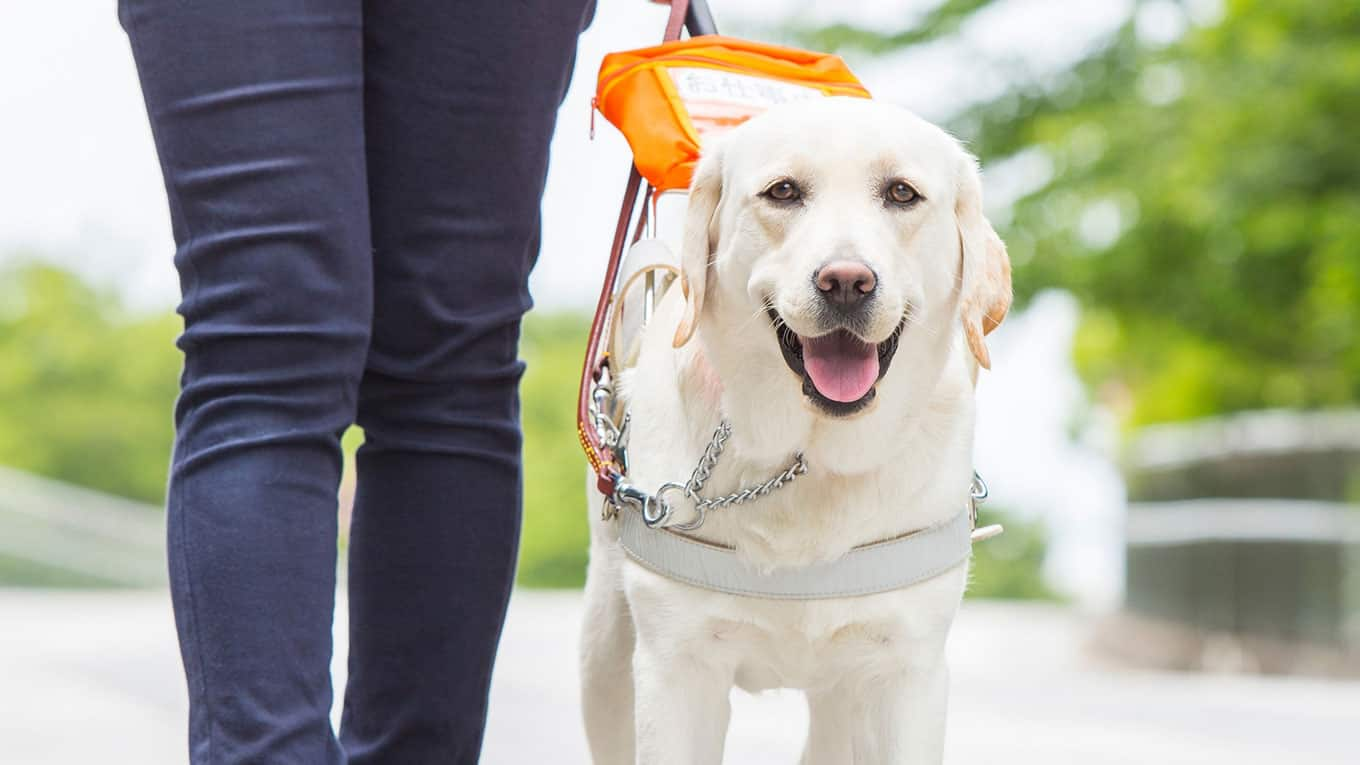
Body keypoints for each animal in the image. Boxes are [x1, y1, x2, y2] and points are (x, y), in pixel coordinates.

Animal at [579, 96, 1017, 762]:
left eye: (902, 193)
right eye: (783, 191)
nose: (846, 282)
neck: (807, 461)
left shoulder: (906, 672)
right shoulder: (677, 668)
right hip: (604, 654)